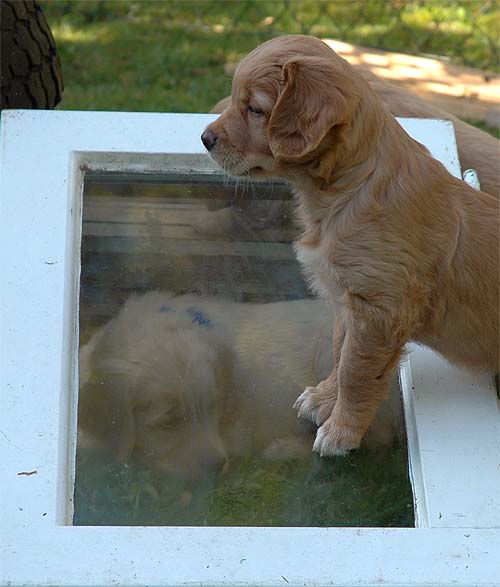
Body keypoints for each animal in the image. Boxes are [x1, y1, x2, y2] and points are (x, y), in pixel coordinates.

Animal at [202, 35, 500, 460]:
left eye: (254, 108)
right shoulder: (349, 300)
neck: (345, 189)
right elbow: (340, 353)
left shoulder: (379, 310)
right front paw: (325, 399)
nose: (205, 139)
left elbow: (356, 374)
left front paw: (342, 432)